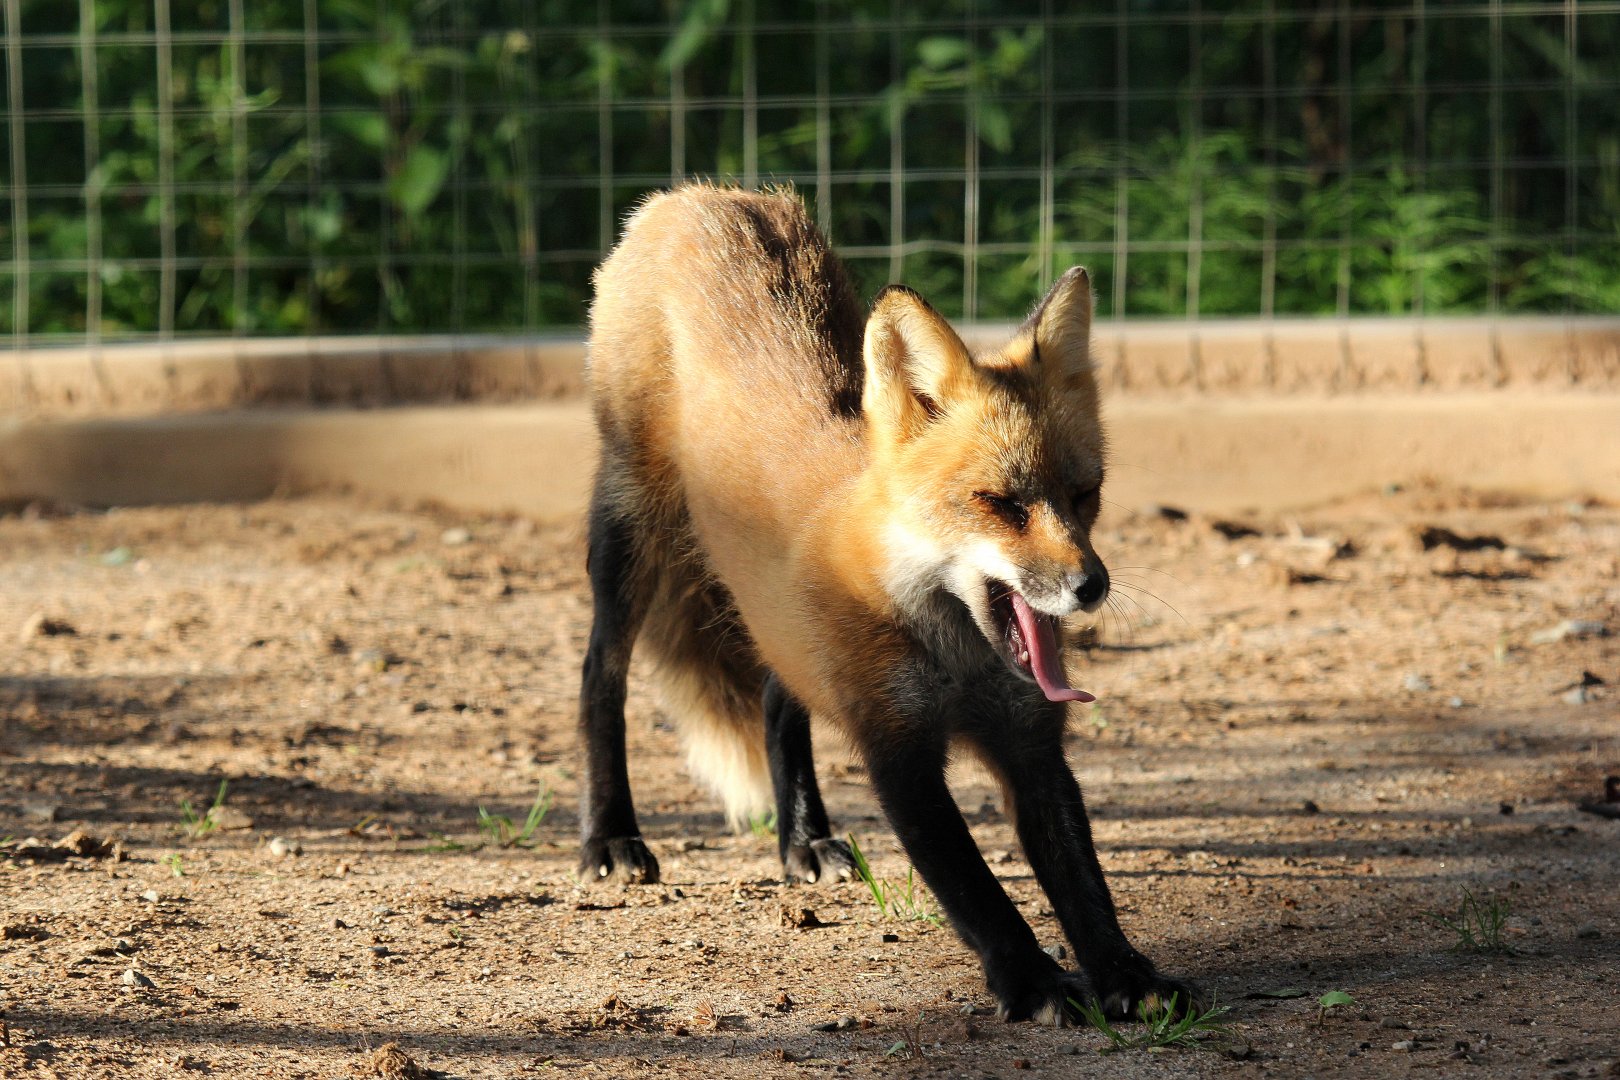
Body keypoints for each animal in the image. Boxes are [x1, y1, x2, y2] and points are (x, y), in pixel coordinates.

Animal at [578, 183, 1199, 1024]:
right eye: (999, 504)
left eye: (1084, 494)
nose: (1090, 586)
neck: (956, 659)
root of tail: (702, 194)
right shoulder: (898, 752)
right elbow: (976, 890)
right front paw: (1035, 983)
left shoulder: (1032, 743)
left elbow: (1082, 882)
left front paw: (1125, 973)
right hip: (629, 534)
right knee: (599, 676)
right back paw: (610, 837)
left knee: (777, 699)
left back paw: (801, 842)